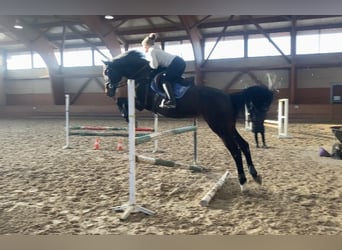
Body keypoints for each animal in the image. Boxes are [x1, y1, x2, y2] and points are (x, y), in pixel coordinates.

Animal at [103, 49, 274, 188]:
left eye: (107, 72)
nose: (108, 91)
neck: (141, 74)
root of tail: (228, 97)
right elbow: (121, 101)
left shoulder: (141, 104)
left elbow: (121, 102)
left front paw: (127, 117)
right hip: (228, 126)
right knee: (244, 145)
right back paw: (255, 175)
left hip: (218, 126)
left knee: (235, 150)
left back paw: (242, 181)